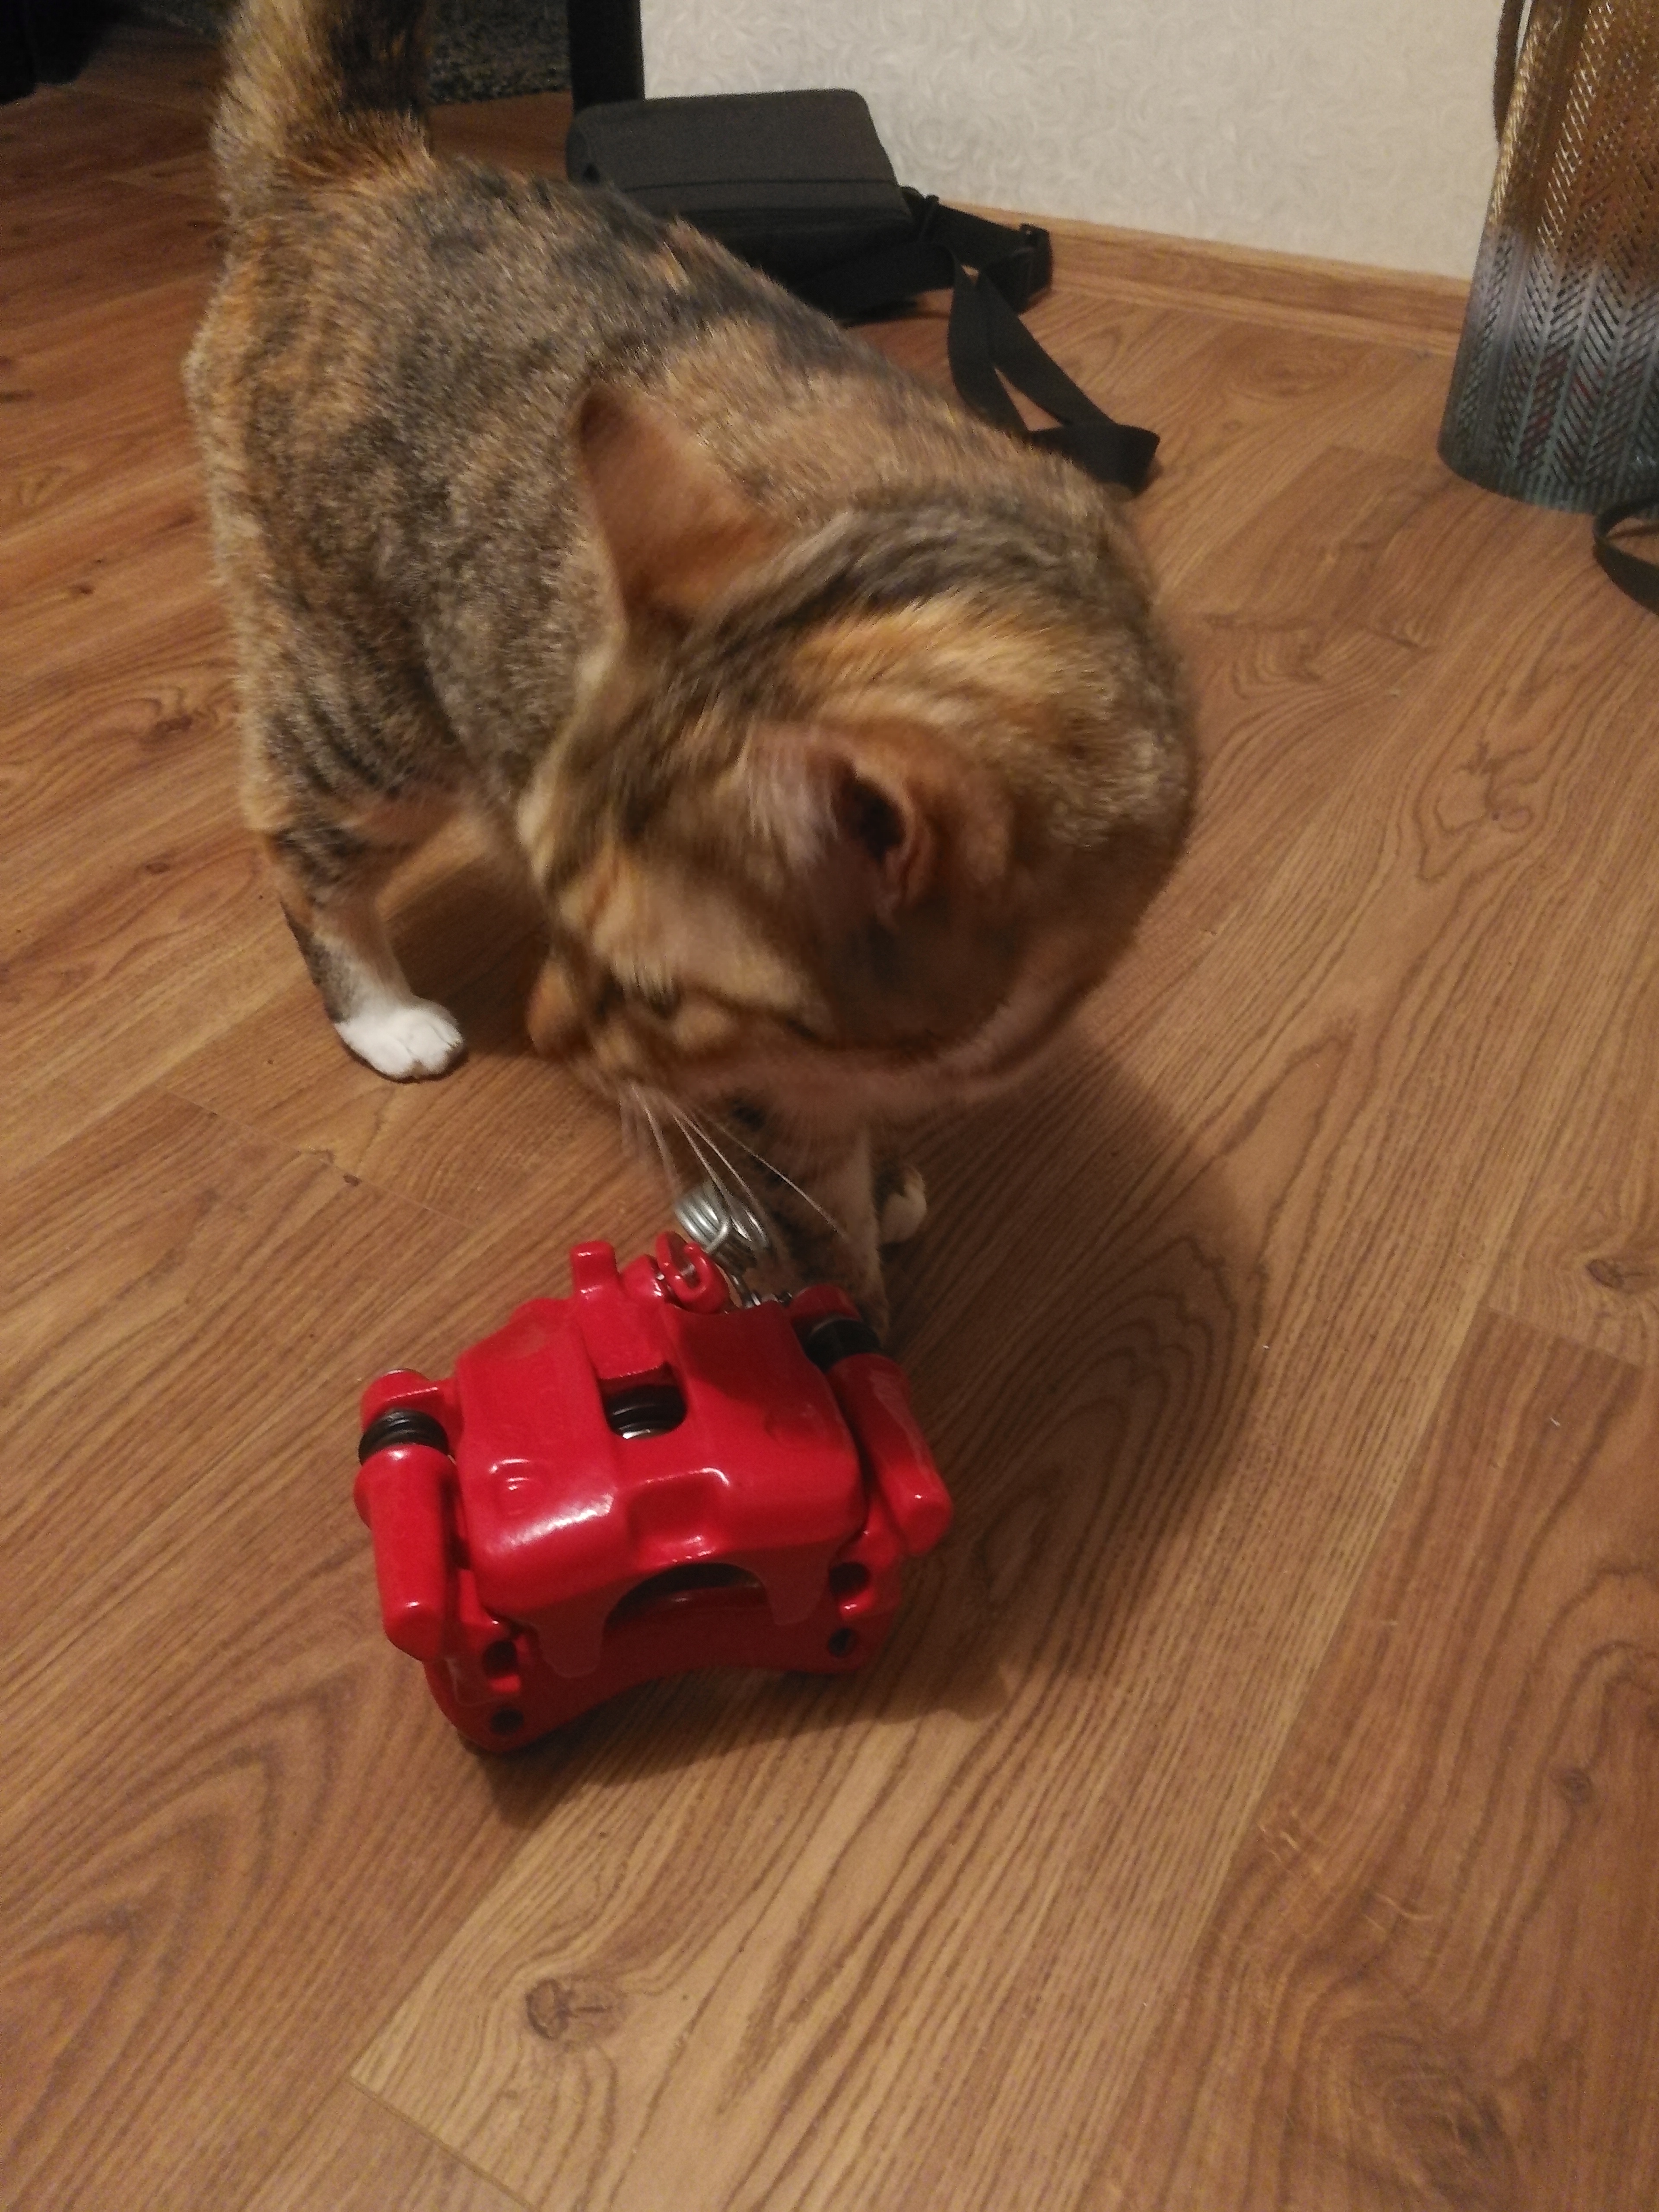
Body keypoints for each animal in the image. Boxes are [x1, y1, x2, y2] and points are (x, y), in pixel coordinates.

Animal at [186, 0, 1195, 1327]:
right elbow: (819, 1223)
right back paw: (387, 1015)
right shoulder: (782, 1095)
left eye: (658, 996)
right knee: (296, 845)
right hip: (363, 709)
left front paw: (886, 1180)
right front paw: (854, 1332)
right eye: (563, 930)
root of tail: (355, 163)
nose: (542, 1031)